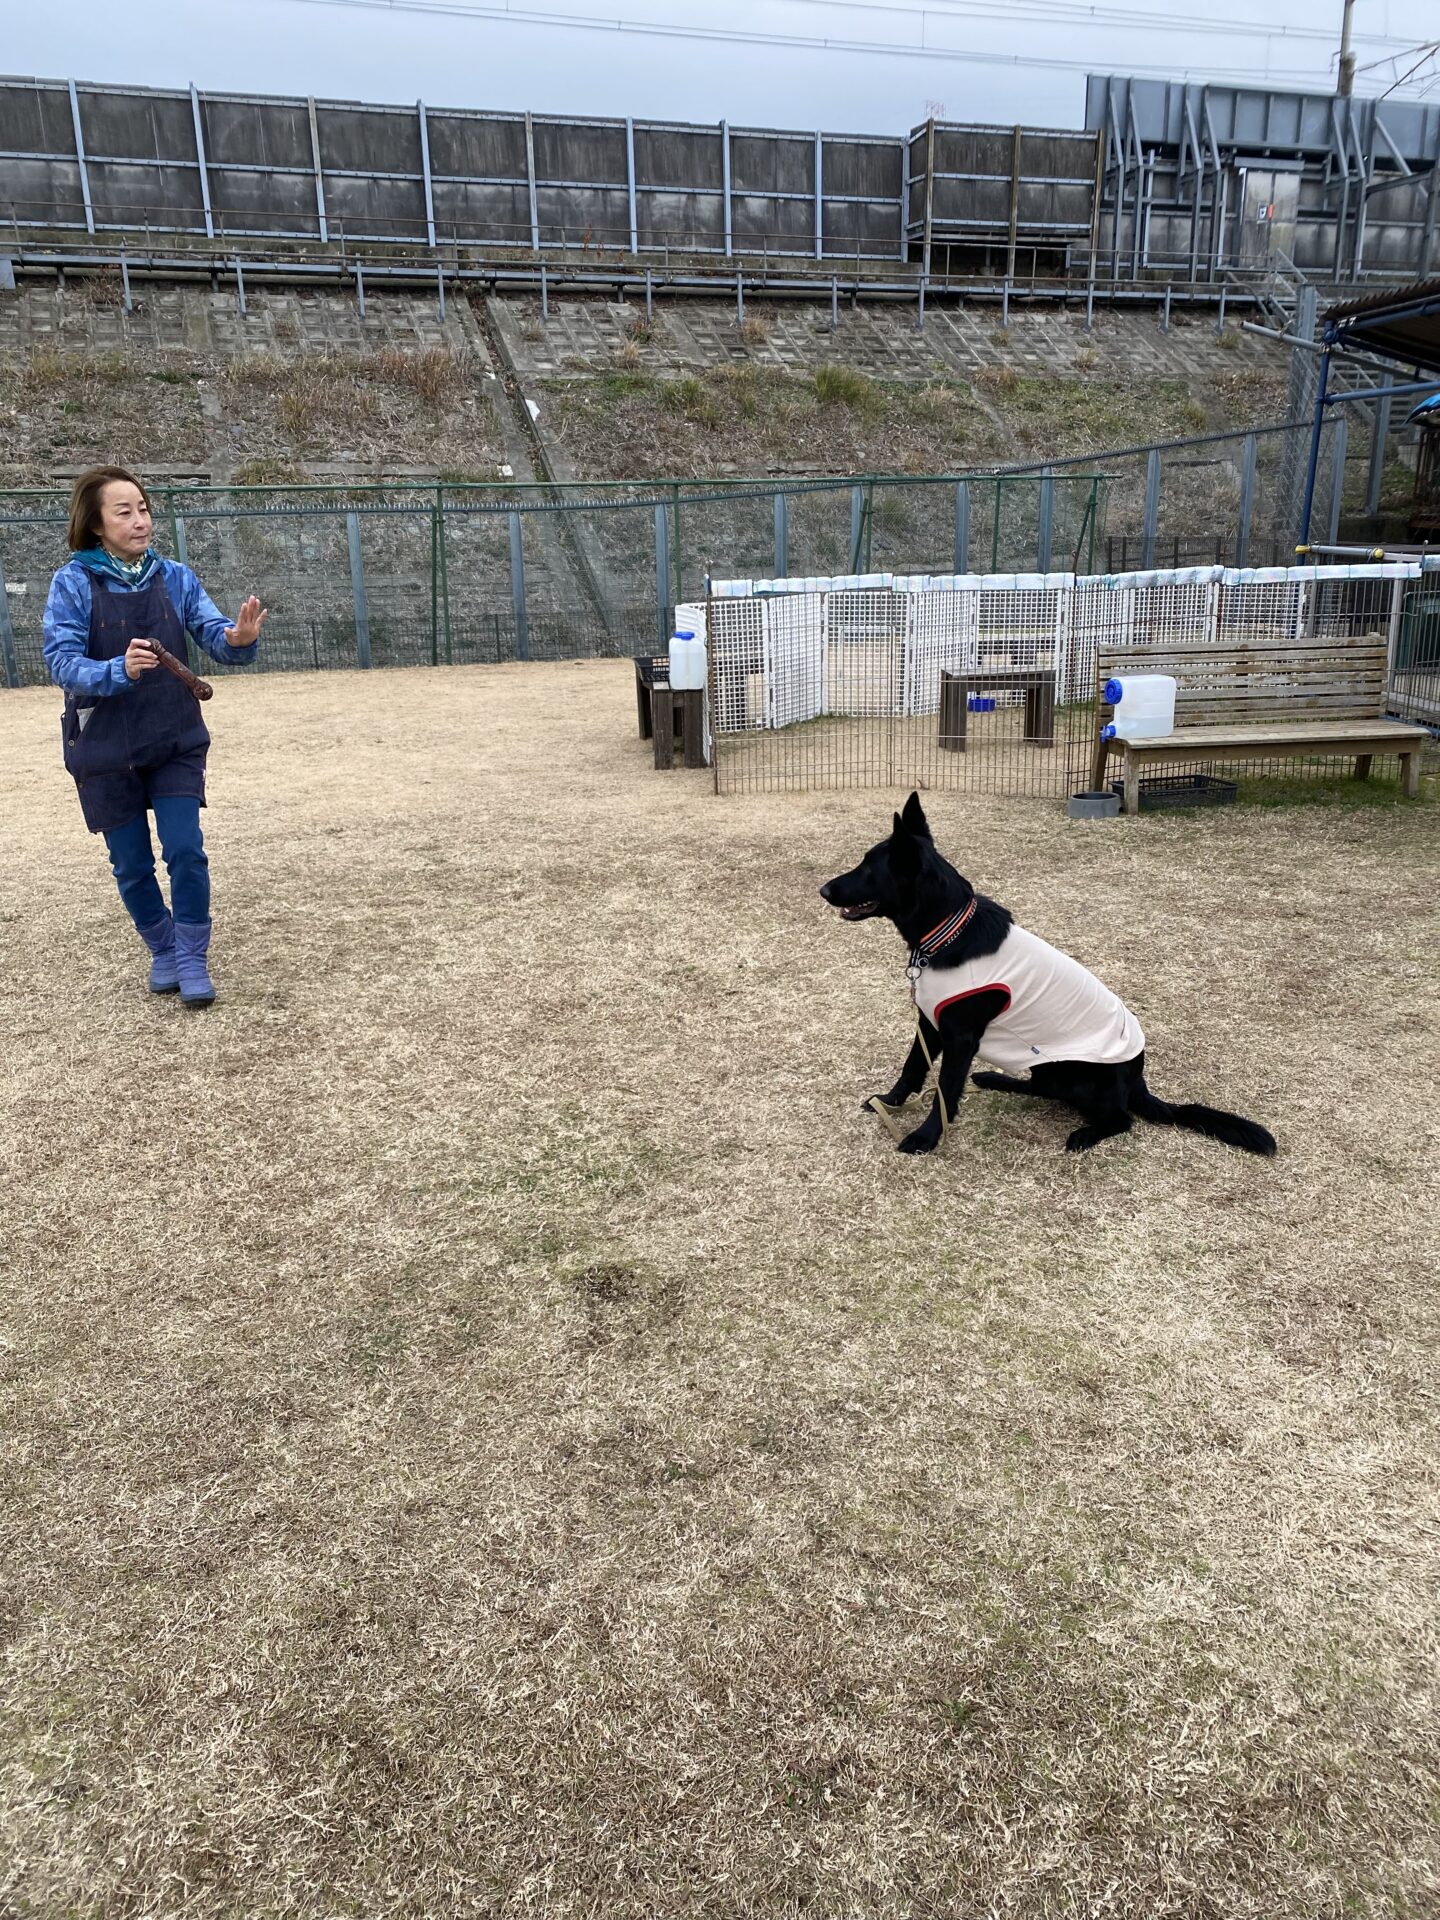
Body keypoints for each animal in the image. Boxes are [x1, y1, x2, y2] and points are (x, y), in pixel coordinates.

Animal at [820, 793, 1277, 1158]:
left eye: (868, 869)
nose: (823, 890)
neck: (948, 932)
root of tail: (1137, 1080)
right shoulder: (930, 1023)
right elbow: (912, 1067)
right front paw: (890, 1101)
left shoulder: (959, 1037)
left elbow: (945, 1092)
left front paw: (926, 1137)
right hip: (1052, 1068)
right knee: (1043, 1088)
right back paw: (996, 1079)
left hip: (1080, 1074)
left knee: (1121, 1118)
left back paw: (1086, 1134)